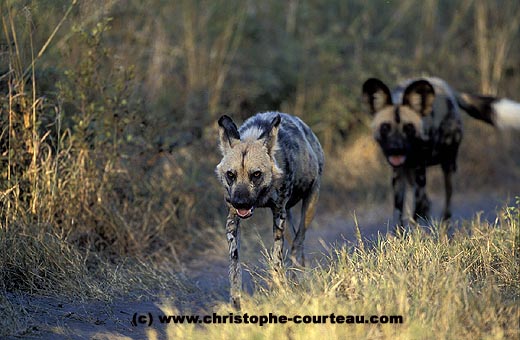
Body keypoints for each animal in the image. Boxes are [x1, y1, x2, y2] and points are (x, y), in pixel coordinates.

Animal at [214, 111, 320, 308]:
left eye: (256, 174)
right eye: (230, 175)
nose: (240, 203)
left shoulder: (278, 214)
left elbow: (277, 259)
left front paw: (282, 291)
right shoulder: (232, 219)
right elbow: (235, 263)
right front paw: (235, 301)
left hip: (310, 202)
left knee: (298, 242)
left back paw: (298, 279)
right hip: (288, 218)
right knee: (295, 241)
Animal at [362, 75, 520, 227]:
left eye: (408, 128)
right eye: (385, 127)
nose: (396, 148)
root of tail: (449, 90)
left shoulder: (420, 171)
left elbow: (419, 208)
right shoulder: (399, 174)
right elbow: (399, 212)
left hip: (448, 167)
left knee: (445, 208)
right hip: (412, 173)